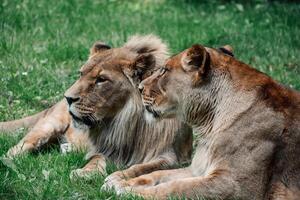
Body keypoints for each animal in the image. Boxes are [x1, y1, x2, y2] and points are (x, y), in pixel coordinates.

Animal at [0, 34, 192, 180]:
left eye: (101, 80)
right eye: (81, 74)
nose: (68, 97)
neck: (126, 123)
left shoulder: (170, 156)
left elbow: (142, 167)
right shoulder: (106, 147)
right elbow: (97, 158)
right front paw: (85, 173)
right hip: (48, 126)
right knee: (18, 148)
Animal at [112, 44, 300, 200]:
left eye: (164, 71)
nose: (139, 88)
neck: (208, 124)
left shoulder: (237, 186)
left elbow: (177, 187)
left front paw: (130, 192)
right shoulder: (198, 168)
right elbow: (159, 174)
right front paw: (119, 182)